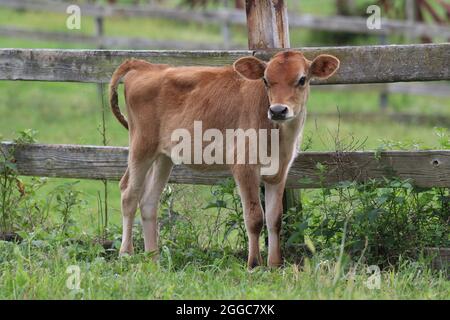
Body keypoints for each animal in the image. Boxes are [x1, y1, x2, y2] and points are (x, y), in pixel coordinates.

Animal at [109, 51, 340, 268]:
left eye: (302, 79)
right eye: (265, 80)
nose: (277, 110)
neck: (280, 139)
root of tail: (145, 65)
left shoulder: (279, 171)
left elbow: (275, 219)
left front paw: (275, 264)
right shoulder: (244, 166)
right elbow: (255, 218)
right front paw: (254, 264)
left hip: (163, 156)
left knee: (149, 201)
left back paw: (153, 259)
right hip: (141, 146)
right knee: (128, 193)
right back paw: (126, 254)